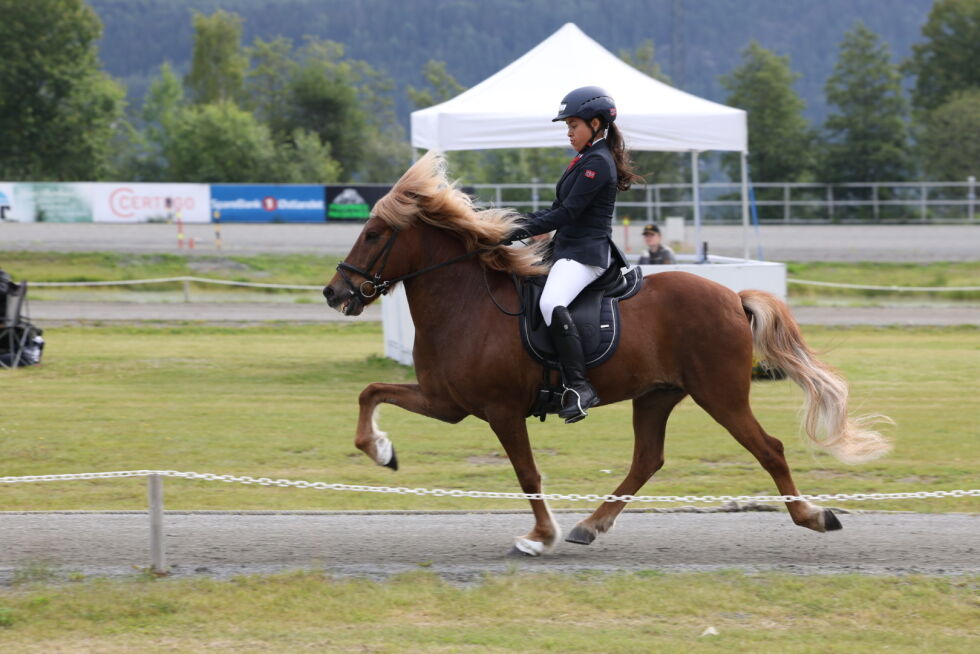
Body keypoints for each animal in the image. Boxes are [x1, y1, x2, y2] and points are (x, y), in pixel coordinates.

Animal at [326, 154, 892, 560]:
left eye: (373, 234)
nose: (335, 293)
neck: (465, 303)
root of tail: (732, 296)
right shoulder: (447, 402)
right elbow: (370, 392)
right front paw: (381, 451)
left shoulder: (501, 411)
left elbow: (528, 474)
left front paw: (540, 537)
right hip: (657, 395)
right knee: (648, 459)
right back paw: (589, 525)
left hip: (721, 395)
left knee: (768, 449)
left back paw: (813, 516)